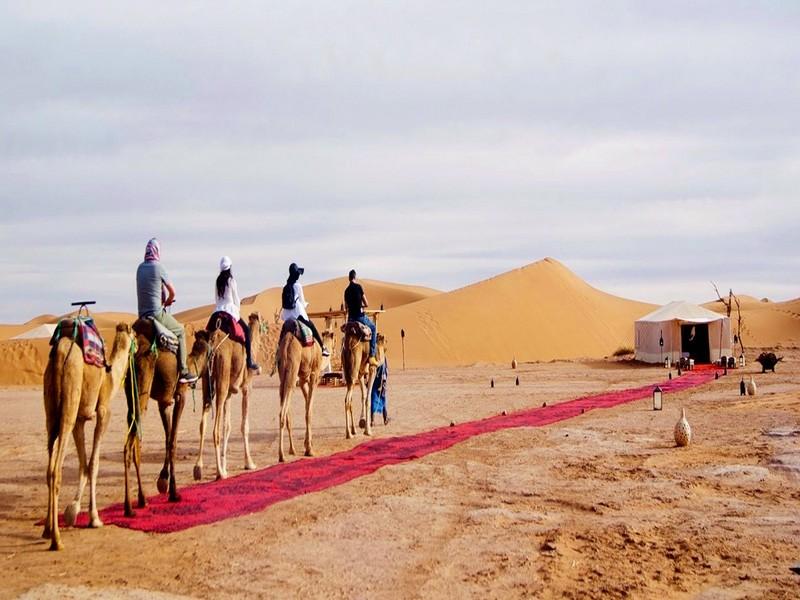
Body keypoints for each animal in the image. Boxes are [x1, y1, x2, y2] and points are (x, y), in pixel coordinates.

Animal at [42, 322, 133, 552]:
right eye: (135, 334)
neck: (111, 377)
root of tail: (61, 352)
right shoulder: (102, 411)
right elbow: (93, 464)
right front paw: (94, 518)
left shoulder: (81, 420)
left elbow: (84, 463)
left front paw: (72, 511)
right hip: (69, 401)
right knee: (55, 470)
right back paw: (56, 539)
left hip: (51, 412)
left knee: (48, 467)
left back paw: (47, 529)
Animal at [122, 324, 209, 516]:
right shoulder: (180, 394)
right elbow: (174, 440)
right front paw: (174, 493)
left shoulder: (163, 402)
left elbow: (168, 438)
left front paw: (163, 481)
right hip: (142, 390)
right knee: (129, 446)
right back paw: (129, 508)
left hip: (130, 395)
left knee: (136, 444)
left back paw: (142, 499)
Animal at [194, 312, 268, 480]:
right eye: (263, 322)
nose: (266, 327)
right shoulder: (247, 387)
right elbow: (244, 425)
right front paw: (249, 463)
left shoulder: (229, 393)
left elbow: (227, 427)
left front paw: (224, 464)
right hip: (221, 377)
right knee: (215, 430)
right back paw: (220, 474)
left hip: (207, 382)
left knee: (203, 423)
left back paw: (198, 468)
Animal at [278, 322, 322, 462]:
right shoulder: (314, 375)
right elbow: (309, 411)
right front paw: (309, 449)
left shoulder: (303, 379)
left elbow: (307, 405)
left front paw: (307, 443)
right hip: (292, 371)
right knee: (282, 413)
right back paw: (281, 455)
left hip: (283, 374)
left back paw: (291, 450)